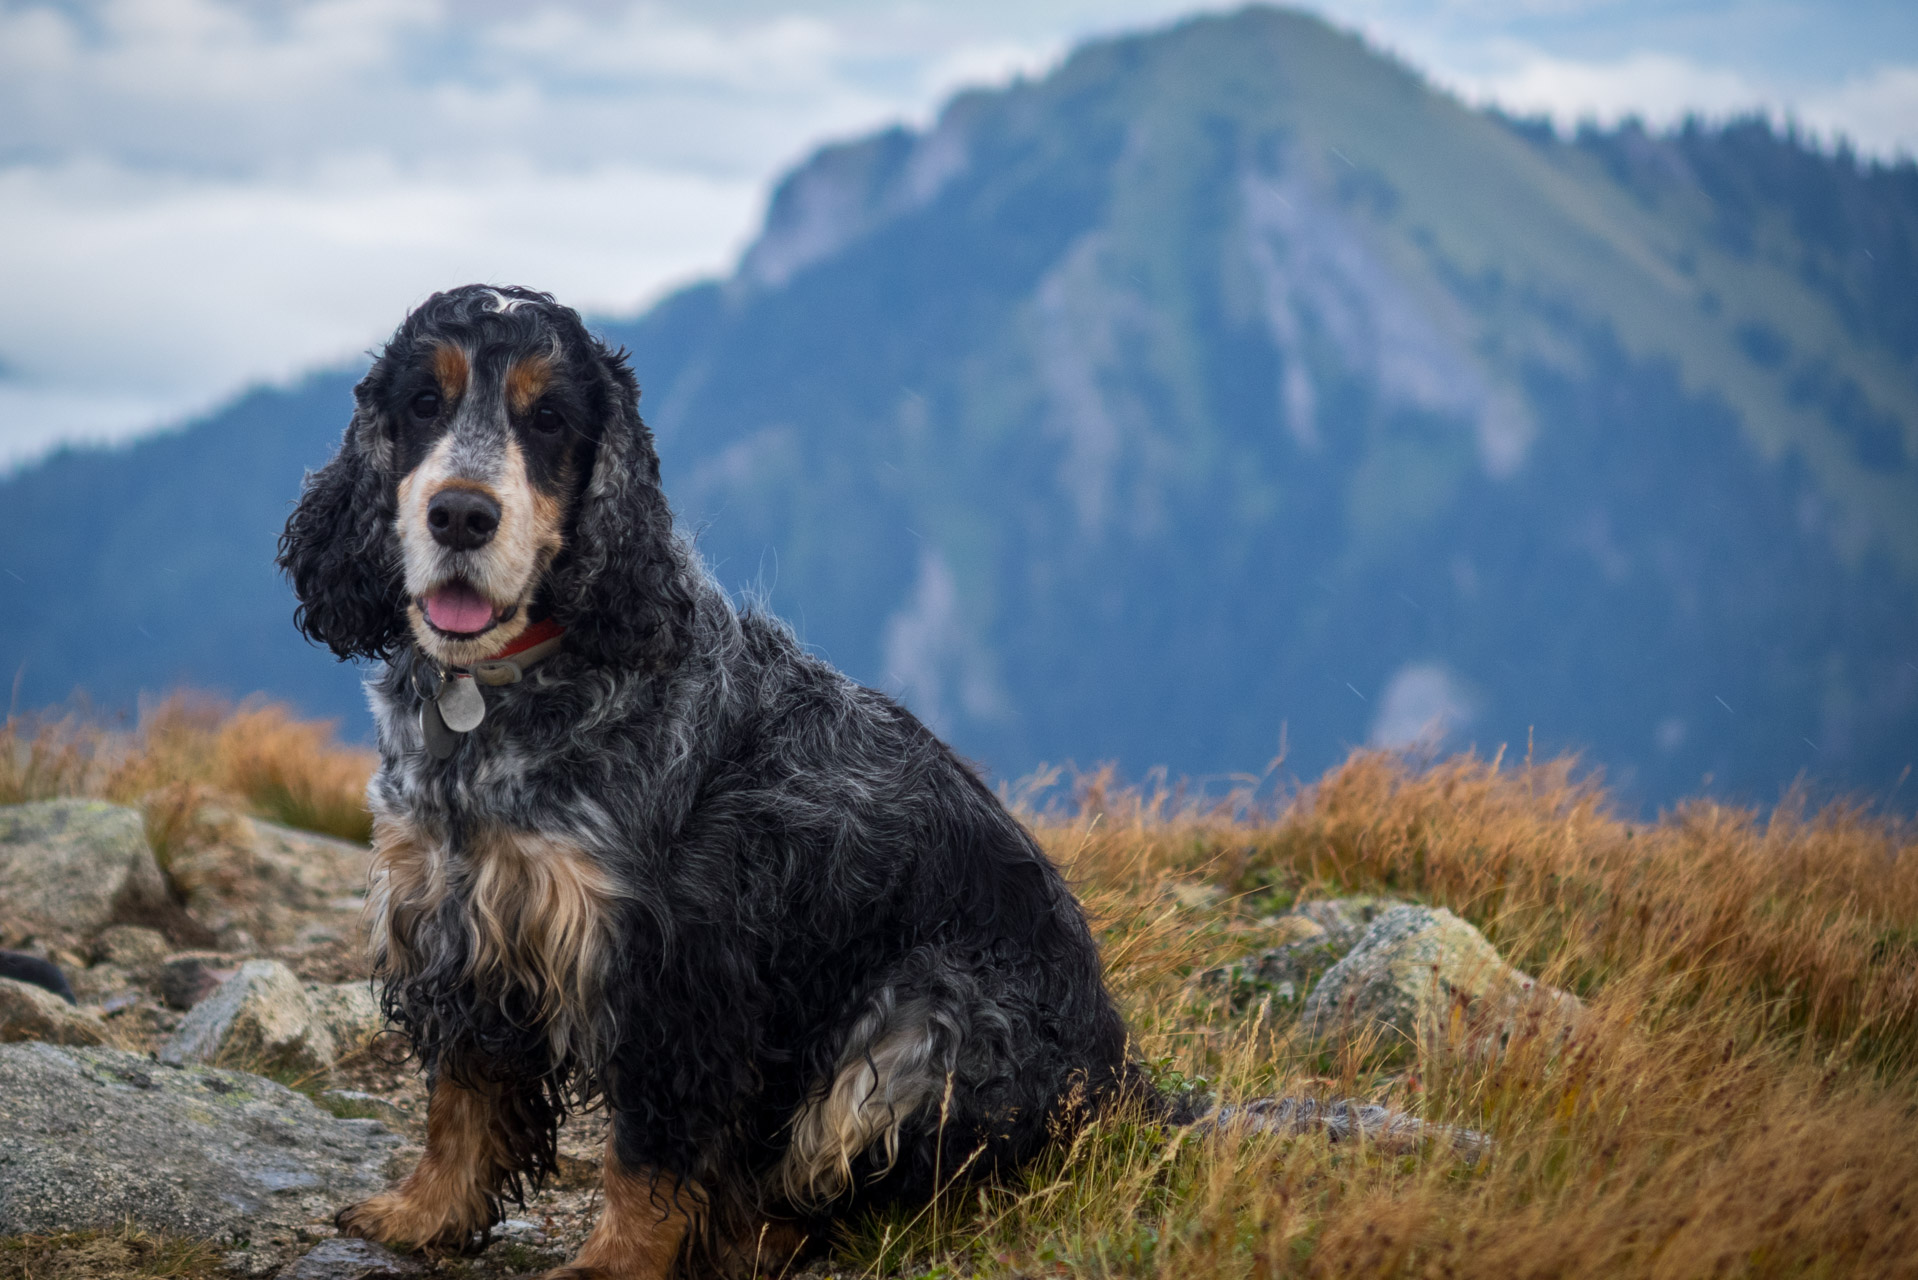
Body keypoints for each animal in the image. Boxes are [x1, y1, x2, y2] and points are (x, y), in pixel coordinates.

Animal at [276, 285, 1143, 1274]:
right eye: (424, 402)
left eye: (549, 419)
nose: (461, 515)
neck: (502, 694)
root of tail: (1127, 1082)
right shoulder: (458, 920)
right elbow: (461, 1097)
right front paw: (423, 1213)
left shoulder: (672, 972)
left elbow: (652, 1152)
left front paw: (613, 1264)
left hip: (924, 1030)